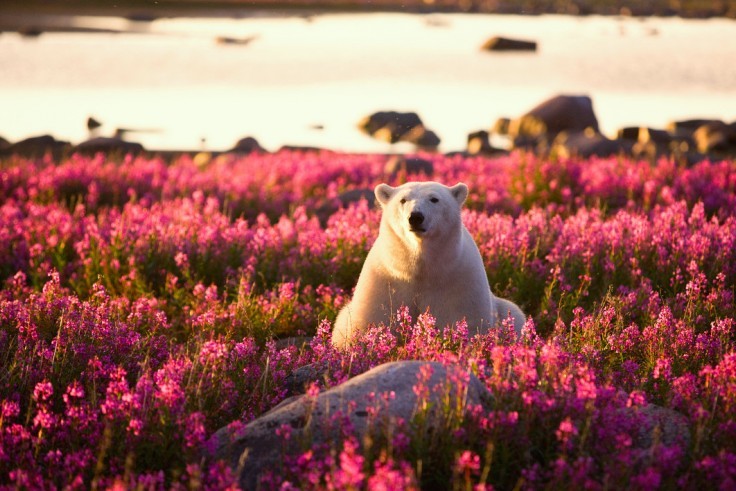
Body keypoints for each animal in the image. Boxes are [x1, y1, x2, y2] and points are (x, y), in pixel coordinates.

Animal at [330, 182, 528, 350]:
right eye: (403, 200)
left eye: (434, 199)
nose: (416, 217)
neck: (421, 269)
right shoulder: (384, 278)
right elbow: (373, 318)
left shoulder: (460, 280)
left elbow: (464, 319)